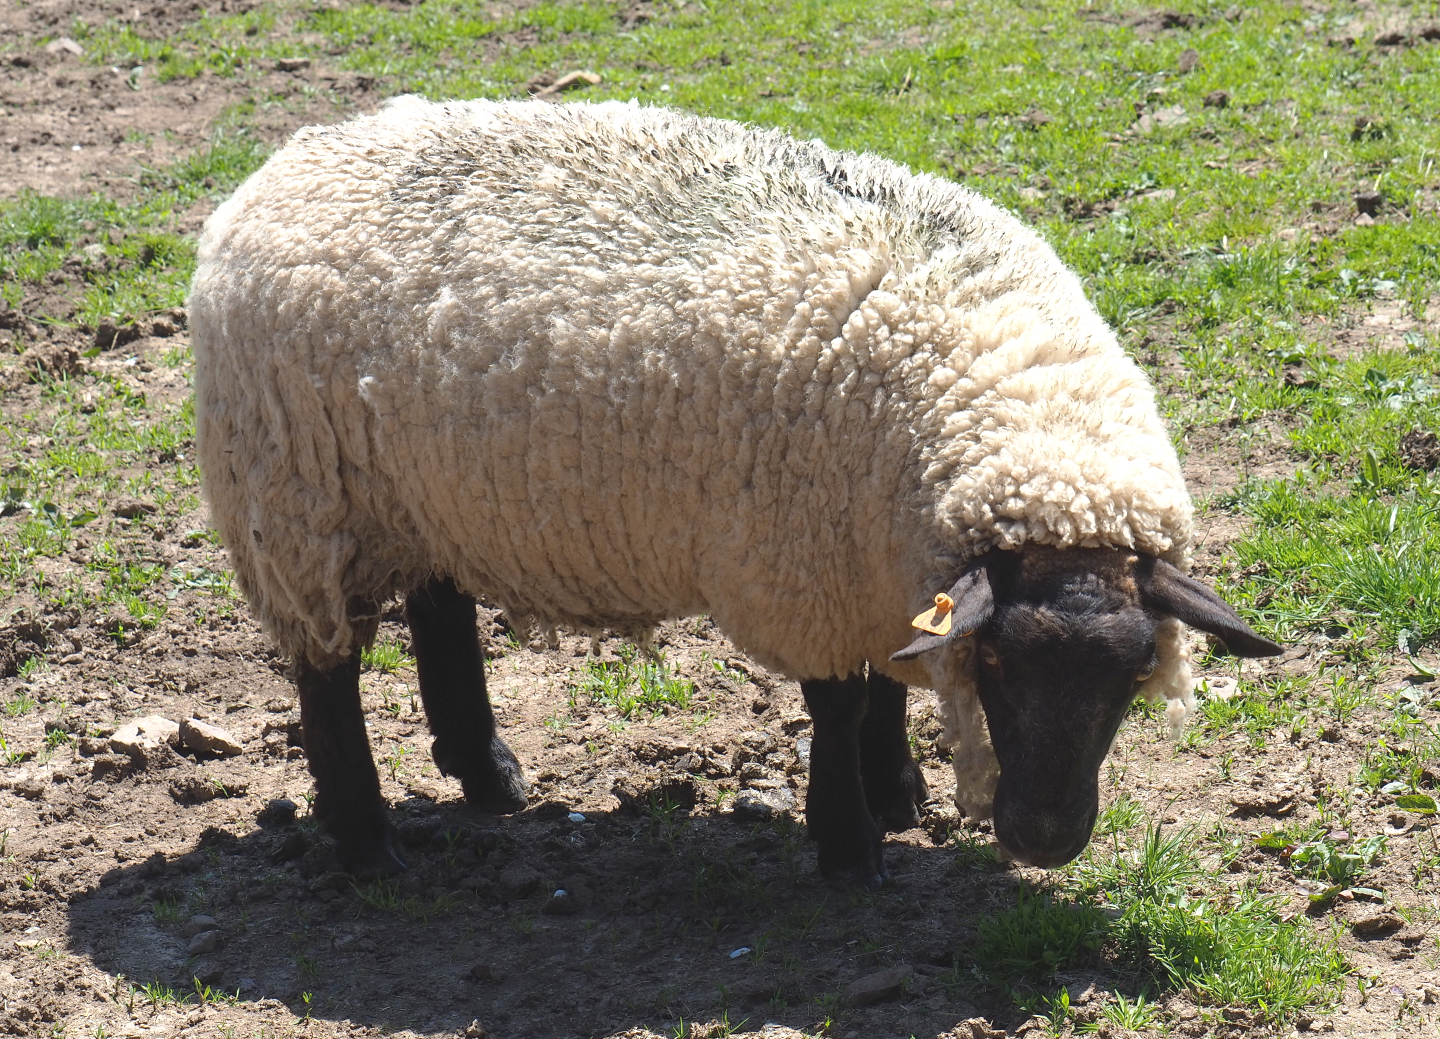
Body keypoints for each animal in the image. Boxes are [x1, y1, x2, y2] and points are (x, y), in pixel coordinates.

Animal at [189, 96, 1280, 883]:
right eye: (1001, 665)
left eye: (1134, 675)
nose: (1044, 839)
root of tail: (282, 168)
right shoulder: (804, 559)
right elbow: (838, 700)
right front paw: (849, 845)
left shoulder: (870, 547)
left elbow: (889, 672)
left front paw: (897, 790)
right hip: (298, 507)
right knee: (326, 672)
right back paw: (367, 842)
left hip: (425, 493)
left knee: (439, 607)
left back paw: (487, 773)